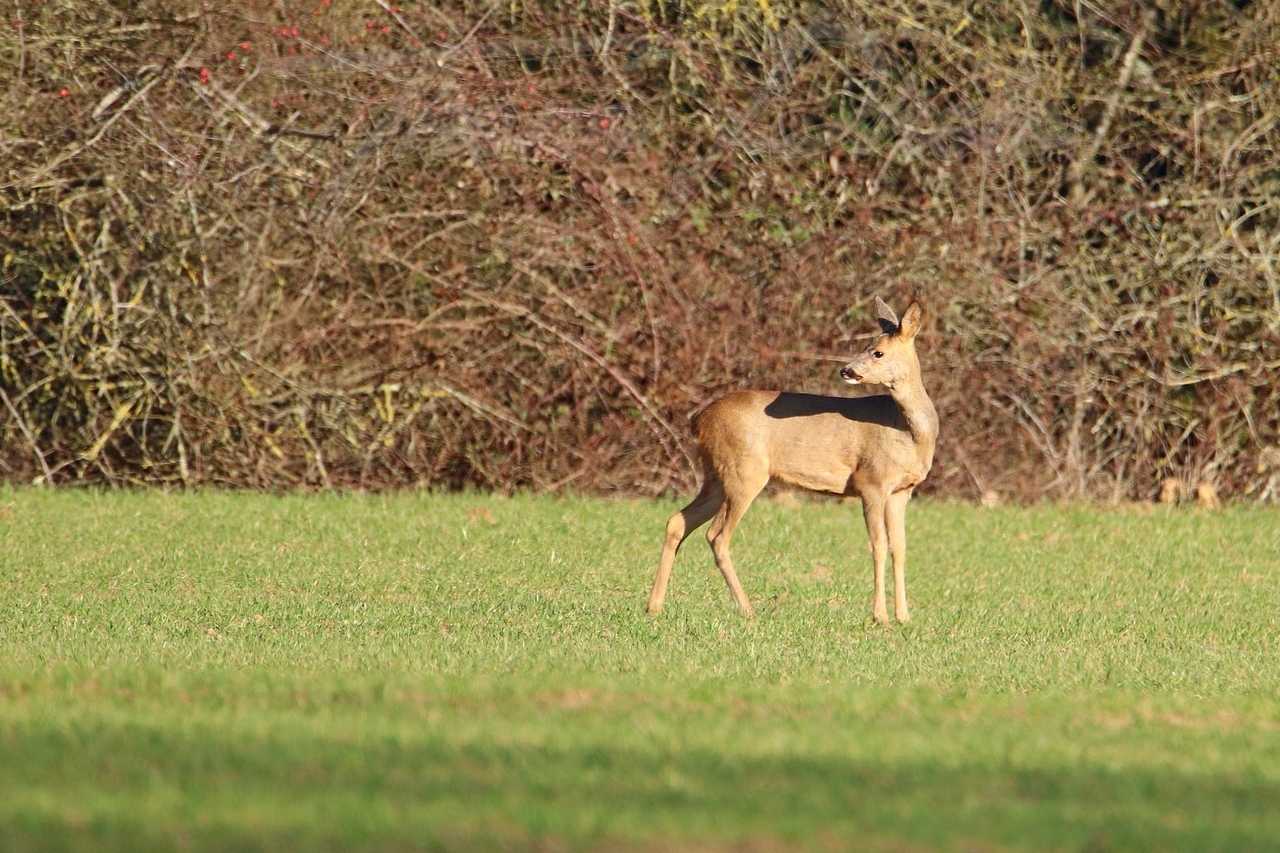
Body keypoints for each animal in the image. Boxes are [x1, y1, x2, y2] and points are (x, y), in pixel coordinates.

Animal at [650, 295, 942, 622]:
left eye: (878, 352)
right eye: (867, 346)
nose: (846, 370)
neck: (907, 431)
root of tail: (699, 420)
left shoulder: (902, 491)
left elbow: (900, 548)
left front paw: (904, 617)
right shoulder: (871, 481)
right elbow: (878, 545)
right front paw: (880, 616)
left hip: (716, 475)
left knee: (678, 521)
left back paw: (654, 606)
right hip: (744, 471)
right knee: (717, 536)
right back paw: (748, 610)